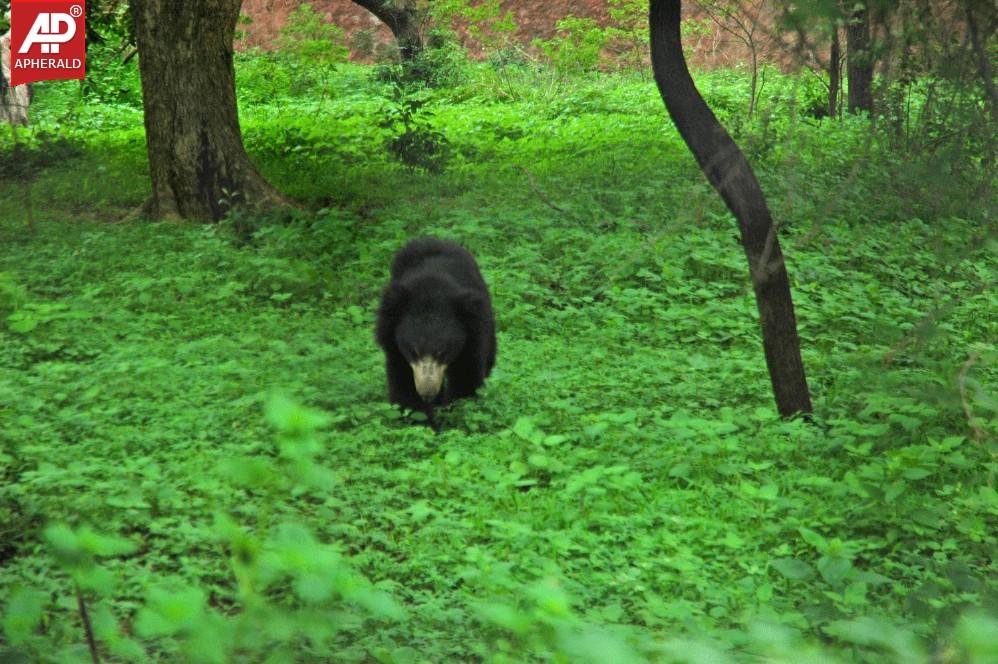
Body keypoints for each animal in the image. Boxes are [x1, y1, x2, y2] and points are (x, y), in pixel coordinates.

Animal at [376, 236, 498, 418]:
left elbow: (467, 374)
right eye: (413, 352)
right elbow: (402, 379)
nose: (427, 393)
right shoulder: (392, 341)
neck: (431, 289)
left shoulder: (472, 335)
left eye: (443, 352)